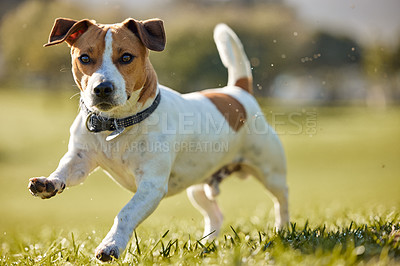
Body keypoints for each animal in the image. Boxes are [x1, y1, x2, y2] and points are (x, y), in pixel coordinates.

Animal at [28, 17, 290, 262]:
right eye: (84, 58)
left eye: (126, 57)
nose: (102, 88)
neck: (116, 125)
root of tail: (237, 92)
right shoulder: (80, 159)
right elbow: (65, 169)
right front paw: (49, 182)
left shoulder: (151, 185)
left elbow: (126, 212)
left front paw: (110, 245)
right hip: (197, 187)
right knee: (216, 215)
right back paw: (206, 245)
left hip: (271, 173)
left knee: (281, 201)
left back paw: (282, 232)